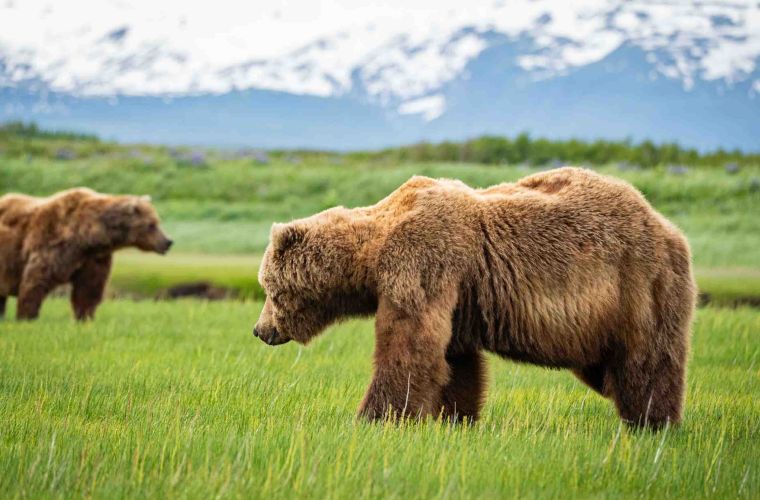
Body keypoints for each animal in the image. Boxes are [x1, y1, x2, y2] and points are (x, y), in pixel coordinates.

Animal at [0, 188, 172, 320]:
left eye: (157, 221)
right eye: (151, 224)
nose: (168, 242)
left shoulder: (93, 259)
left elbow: (88, 288)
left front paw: (85, 318)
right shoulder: (52, 242)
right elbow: (36, 279)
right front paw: (27, 317)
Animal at [253, 167, 696, 429]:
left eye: (269, 289)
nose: (260, 330)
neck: (372, 252)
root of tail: (668, 226)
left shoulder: (422, 259)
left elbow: (408, 344)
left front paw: (374, 417)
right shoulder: (459, 296)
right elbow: (455, 359)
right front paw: (455, 419)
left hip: (638, 285)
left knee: (647, 360)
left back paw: (653, 422)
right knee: (610, 369)